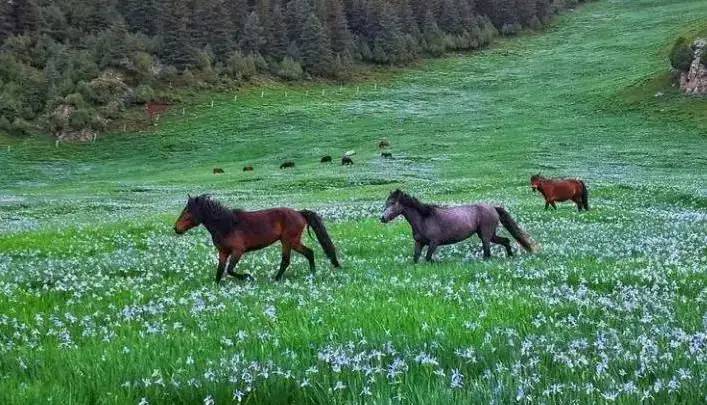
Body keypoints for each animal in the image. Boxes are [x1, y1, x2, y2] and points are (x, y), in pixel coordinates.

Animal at [177, 194, 342, 282]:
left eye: (187, 211)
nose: (175, 228)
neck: (227, 225)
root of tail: (299, 213)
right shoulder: (223, 253)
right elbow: (219, 272)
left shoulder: (238, 251)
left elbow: (230, 269)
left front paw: (247, 277)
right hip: (294, 242)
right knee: (309, 253)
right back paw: (312, 274)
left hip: (288, 241)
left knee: (286, 260)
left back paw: (276, 279)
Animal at [382, 189, 536, 262]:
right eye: (386, 203)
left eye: (392, 203)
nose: (382, 218)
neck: (424, 218)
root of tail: (493, 208)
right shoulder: (419, 243)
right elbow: (416, 259)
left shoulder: (434, 243)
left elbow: (428, 258)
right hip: (490, 234)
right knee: (506, 241)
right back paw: (510, 256)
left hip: (485, 235)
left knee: (487, 252)